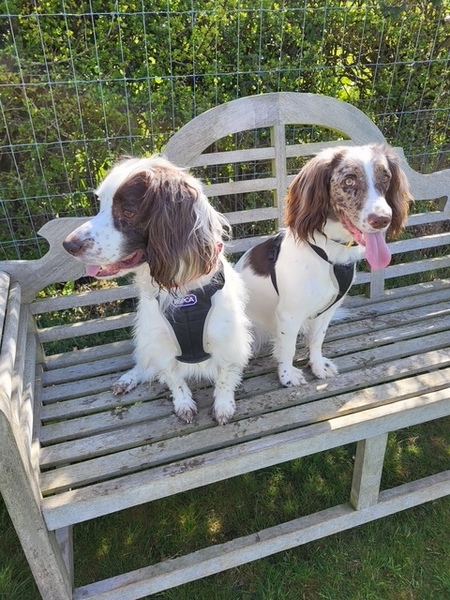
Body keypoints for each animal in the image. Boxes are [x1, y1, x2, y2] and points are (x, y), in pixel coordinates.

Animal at [63, 156, 252, 425]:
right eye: (101, 204)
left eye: (128, 211)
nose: (68, 245)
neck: (183, 292)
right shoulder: (159, 342)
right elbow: (174, 378)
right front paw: (183, 404)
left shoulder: (228, 340)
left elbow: (225, 377)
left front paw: (224, 406)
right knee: (145, 365)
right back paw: (128, 379)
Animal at [235, 144, 411, 387]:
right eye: (349, 180)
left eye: (385, 177)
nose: (382, 219)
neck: (329, 255)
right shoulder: (289, 314)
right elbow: (288, 348)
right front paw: (287, 375)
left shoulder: (327, 309)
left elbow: (317, 340)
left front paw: (317, 366)